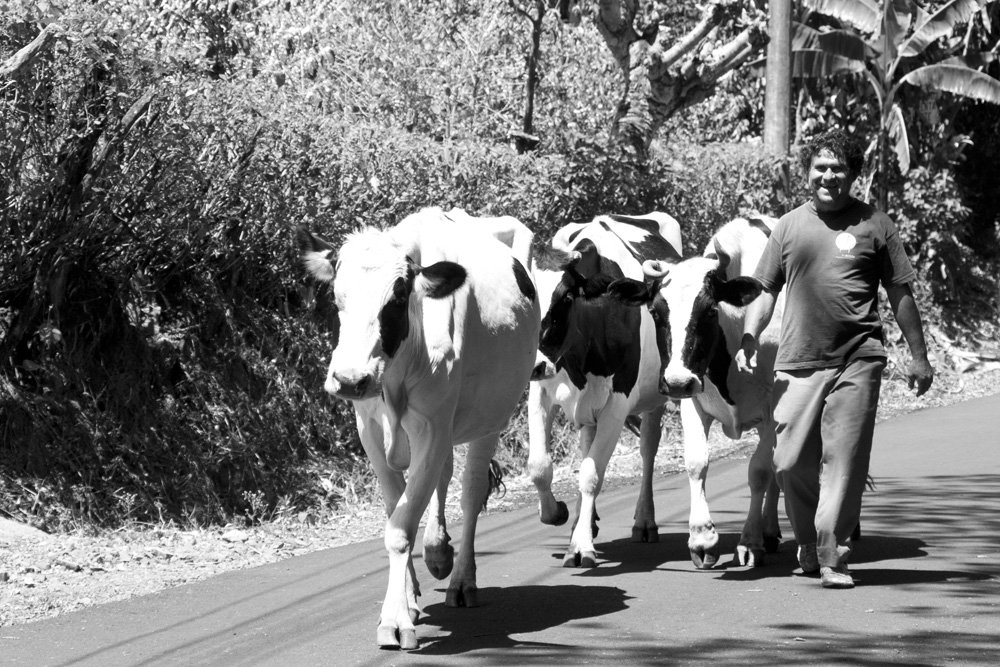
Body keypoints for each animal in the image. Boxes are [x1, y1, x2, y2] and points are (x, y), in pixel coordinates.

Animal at [298, 207, 544, 648]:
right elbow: (396, 508)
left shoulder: (433, 425)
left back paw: (461, 579)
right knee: (441, 478)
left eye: (396, 298)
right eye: (337, 296)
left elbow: (400, 527)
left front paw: (394, 619)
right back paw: (436, 550)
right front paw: (408, 596)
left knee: (470, 492)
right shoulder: (370, 431)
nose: (349, 379)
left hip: (489, 418)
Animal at [528, 211, 684, 568]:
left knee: (648, 448)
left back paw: (644, 522)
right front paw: (557, 514)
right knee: (588, 442)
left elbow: (591, 476)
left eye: (565, 298)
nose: (533, 365)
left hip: (655, 396)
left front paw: (580, 546)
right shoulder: (540, 391)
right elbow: (540, 466)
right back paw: (582, 520)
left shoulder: (617, 404)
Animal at [608, 217, 788, 568]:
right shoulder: (693, 400)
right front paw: (702, 539)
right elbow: (696, 463)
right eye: (655, 312)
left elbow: (760, 471)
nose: (676, 381)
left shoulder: (772, 412)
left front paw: (750, 541)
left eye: (709, 311)